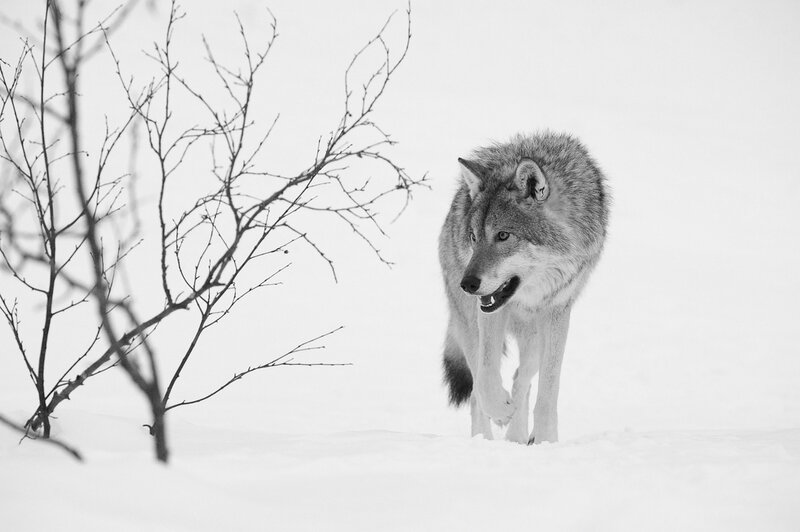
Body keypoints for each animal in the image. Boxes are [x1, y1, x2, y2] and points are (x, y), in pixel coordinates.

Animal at [439, 131, 608, 444]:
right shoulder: (488, 310)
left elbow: (548, 391)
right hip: (467, 324)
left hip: (535, 338)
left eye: (503, 235)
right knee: (477, 390)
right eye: (474, 237)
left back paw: (517, 436)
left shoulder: (557, 311)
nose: (467, 284)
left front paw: (545, 440)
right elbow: (486, 376)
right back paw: (487, 436)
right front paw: (500, 411)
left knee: (522, 378)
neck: (526, 296)